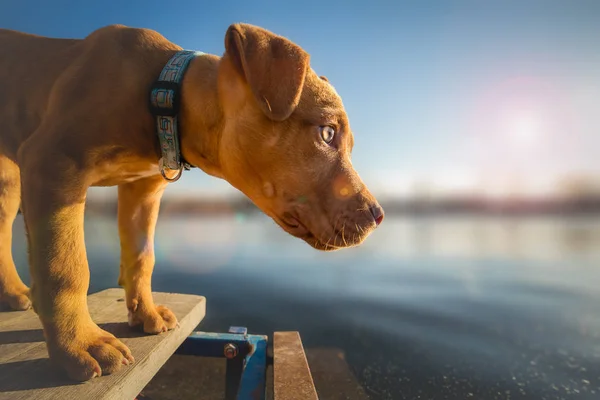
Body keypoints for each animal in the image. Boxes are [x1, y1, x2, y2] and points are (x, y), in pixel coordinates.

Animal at [0, 24, 384, 382]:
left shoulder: (143, 190)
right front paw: (81, 345)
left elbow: (142, 257)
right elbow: (66, 266)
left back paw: (14, 293)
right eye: (327, 133)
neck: (162, 94)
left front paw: (146, 314)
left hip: (10, 184)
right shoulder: (55, 164)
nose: (378, 215)